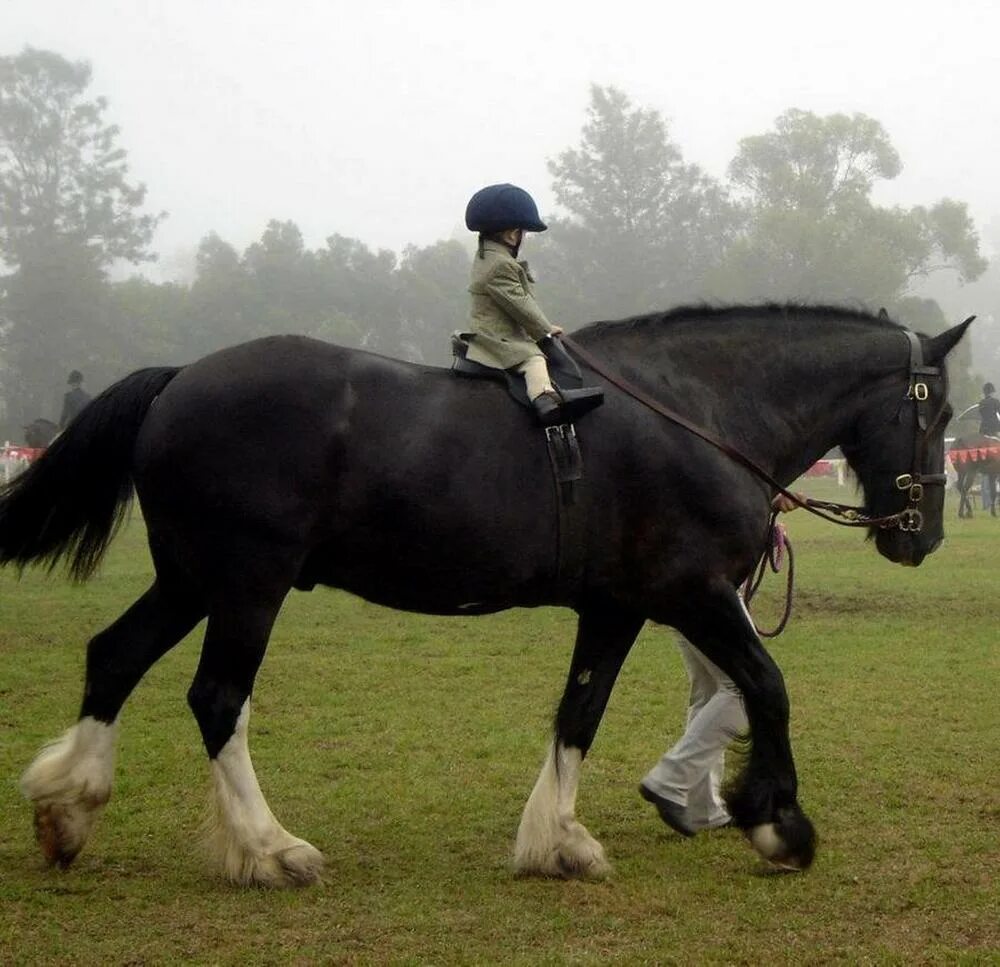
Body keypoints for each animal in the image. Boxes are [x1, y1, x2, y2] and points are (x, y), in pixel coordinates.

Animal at [0, 304, 968, 884]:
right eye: (945, 413)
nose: (921, 536)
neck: (695, 413)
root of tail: (180, 378)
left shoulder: (618, 605)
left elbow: (581, 713)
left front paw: (558, 840)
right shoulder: (693, 593)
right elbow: (767, 685)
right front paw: (780, 822)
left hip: (192, 581)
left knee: (114, 657)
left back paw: (68, 812)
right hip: (247, 585)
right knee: (216, 699)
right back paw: (270, 849)